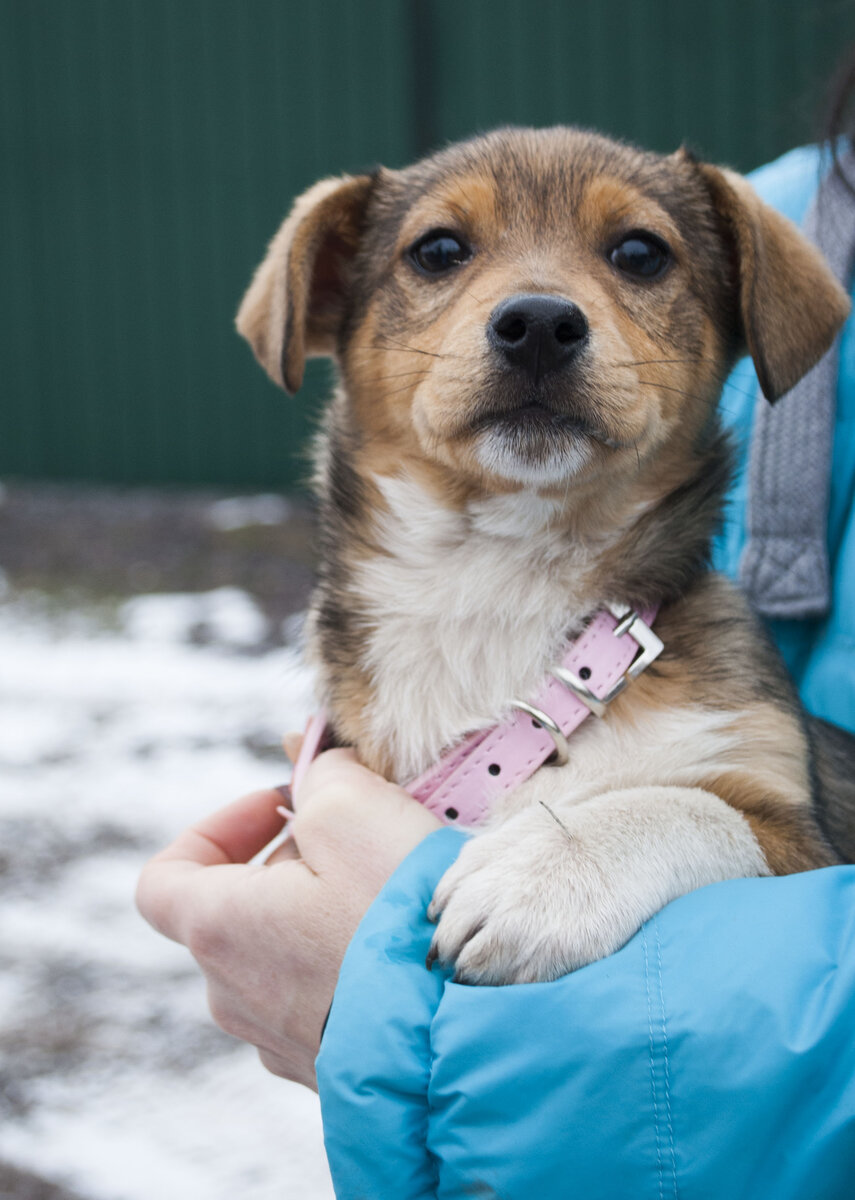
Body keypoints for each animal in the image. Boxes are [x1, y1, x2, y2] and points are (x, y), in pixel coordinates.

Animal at [235, 126, 855, 984]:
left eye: (639, 252)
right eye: (437, 250)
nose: (535, 323)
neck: (501, 572)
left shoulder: (799, 823)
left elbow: (691, 803)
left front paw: (544, 869)